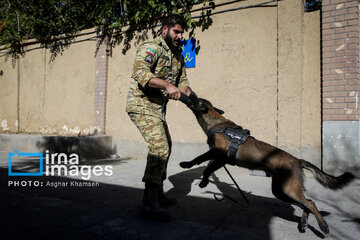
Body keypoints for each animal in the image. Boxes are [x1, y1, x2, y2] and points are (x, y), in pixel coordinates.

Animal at [179, 94, 354, 235]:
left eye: (195, 98)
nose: (189, 92)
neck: (215, 122)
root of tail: (298, 160)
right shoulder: (221, 158)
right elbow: (208, 167)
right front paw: (202, 180)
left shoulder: (219, 153)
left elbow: (201, 159)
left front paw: (189, 166)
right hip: (281, 191)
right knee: (308, 203)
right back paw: (303, 224)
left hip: (288, 189)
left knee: (310, 203)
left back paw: (323, 226)